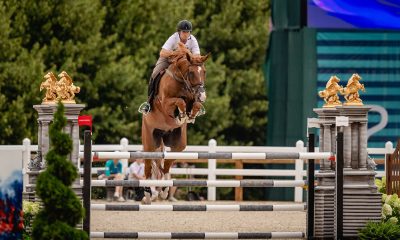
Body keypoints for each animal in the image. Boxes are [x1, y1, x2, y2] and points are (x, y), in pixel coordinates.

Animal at [141, 44, 209, 203]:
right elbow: (179, 101)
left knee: (166, 165)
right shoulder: (165, 103)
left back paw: (164, 190)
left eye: (204, 72)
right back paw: (148, 194)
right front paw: (182, 115)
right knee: (148, 168)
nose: (203, 96)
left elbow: (195, 105)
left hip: (177, 144)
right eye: (191, 72)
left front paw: (189, 116)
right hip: (150, 143)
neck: (182, 81)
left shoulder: (193, 99)